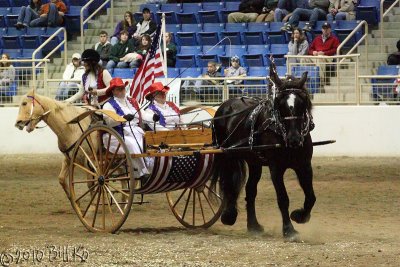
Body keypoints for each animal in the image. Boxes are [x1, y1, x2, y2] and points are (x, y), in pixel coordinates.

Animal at [211, 61, 318, 242]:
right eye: (280, 105)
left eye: (302, 103)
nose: (294, 139)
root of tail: (226, 104)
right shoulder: (276, 168)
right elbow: (283, 198)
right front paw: (289, 230)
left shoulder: (304, 165)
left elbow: (311, 196)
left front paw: (299, 216)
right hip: (228, 155)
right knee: (229, 184)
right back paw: (229, 216)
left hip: (255, 162)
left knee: (250, 191)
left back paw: (253, 225)